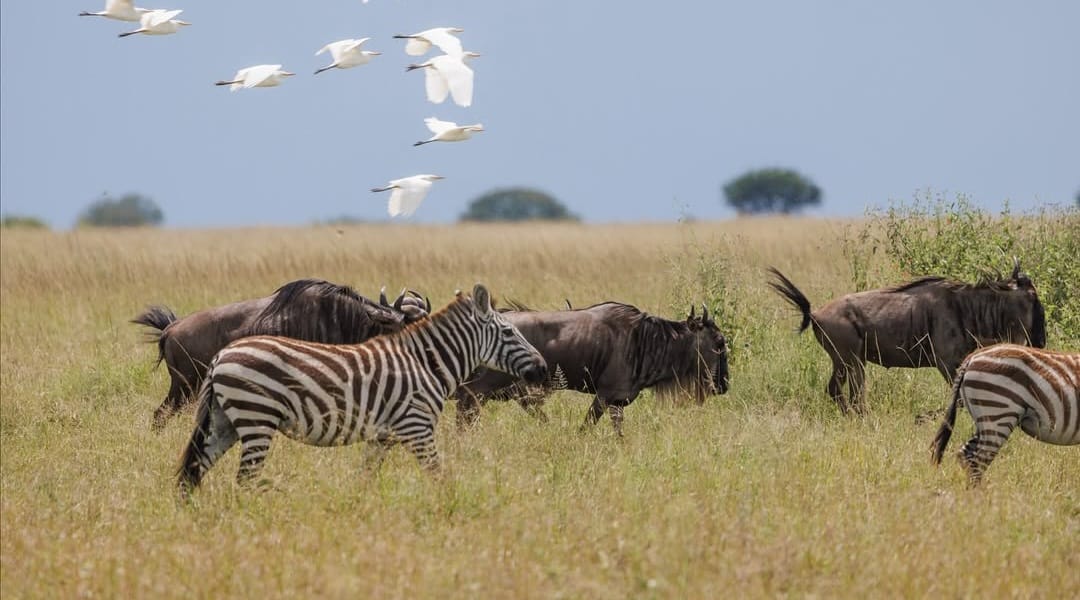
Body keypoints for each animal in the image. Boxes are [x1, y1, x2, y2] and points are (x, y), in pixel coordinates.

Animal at [177, 284, 547, 497]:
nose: (543, 368)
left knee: (192, 473)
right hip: (256, 418)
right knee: (243, 480)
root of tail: (222, 355)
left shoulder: (382, 436)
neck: (427, 363)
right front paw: (449, 508)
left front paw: (359, 509)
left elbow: (365, 477)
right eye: (510, 333)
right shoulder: (417, 428)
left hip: (225, 422)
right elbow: (437, 475)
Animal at [931, 344, 1079, 485]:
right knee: (978, 461)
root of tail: (972, 358)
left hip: (985, 420)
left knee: (966, 455)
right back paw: (982, 495)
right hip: (998, 414)